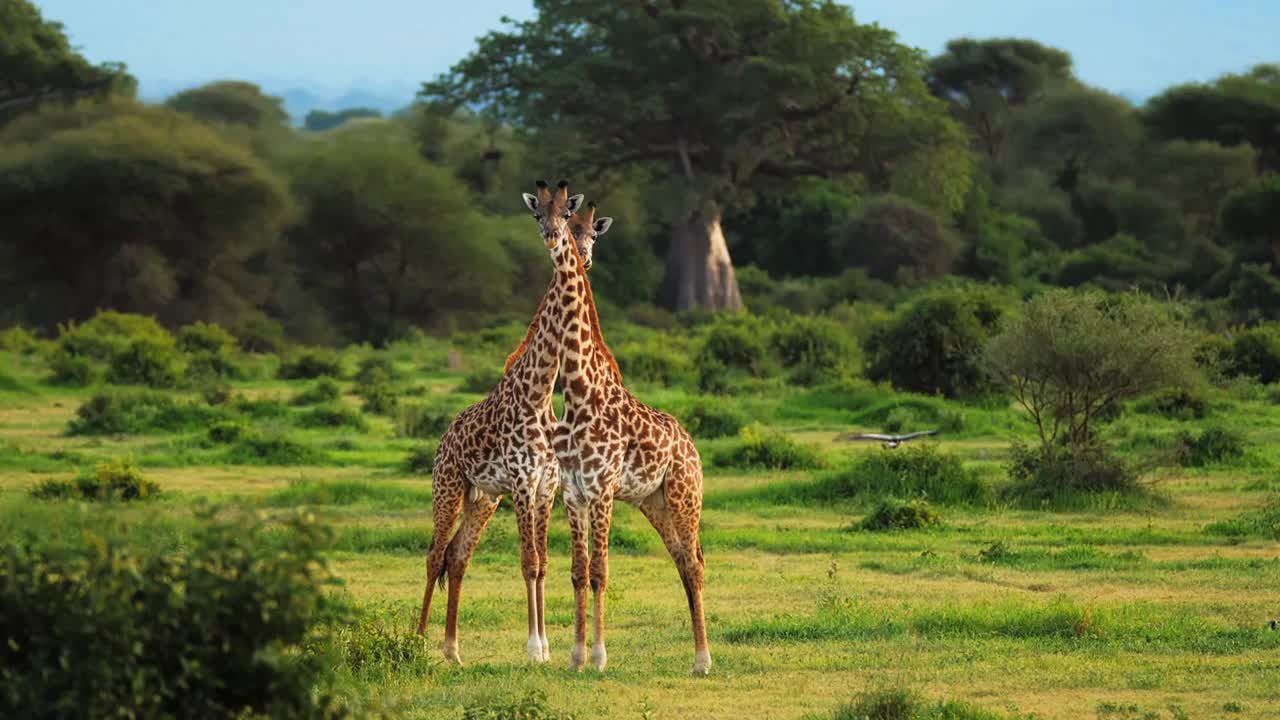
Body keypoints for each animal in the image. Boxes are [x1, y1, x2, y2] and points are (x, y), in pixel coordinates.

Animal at [414, 178, 586, 661]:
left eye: (568, 213)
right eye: (537, 213)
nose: (553, 237)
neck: (540, 394)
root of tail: (443, 439)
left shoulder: (545, 487)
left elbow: (542, 564)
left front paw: (545, 648)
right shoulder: (524, 484)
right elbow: (528, 564)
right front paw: (534, 648)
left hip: (483, 498)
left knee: (457, 555)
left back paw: (453, 650)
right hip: (449, 487)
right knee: (434, 554)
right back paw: (417, 641)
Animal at [558, 198, 711, 671]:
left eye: (594, 233)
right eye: (571, 228)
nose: (584, 256)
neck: (581, 394)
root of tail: (692, 446)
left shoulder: (603, 491)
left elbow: (600, 571)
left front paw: (599, 657)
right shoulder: (572, 494)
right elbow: (578, 571)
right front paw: (576, 658)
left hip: (684, 495)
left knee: (695, 563)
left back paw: (703, 660)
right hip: (654, 502)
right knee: (683, 559)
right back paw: (698, 656)